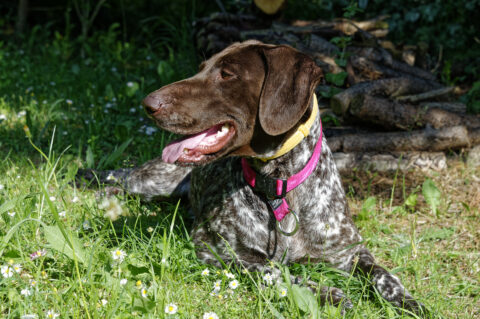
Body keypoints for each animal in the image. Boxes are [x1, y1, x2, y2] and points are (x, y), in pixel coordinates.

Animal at [89, 40, 424, 316]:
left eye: (227, 74)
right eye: (201, 69)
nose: (149, 103)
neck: (279, 186)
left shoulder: (349, 250)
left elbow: (383, 273)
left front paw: (407, 300)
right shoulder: (216, 249)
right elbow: (277, 272)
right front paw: (329, 294)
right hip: (153, 181)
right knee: (114, 184)